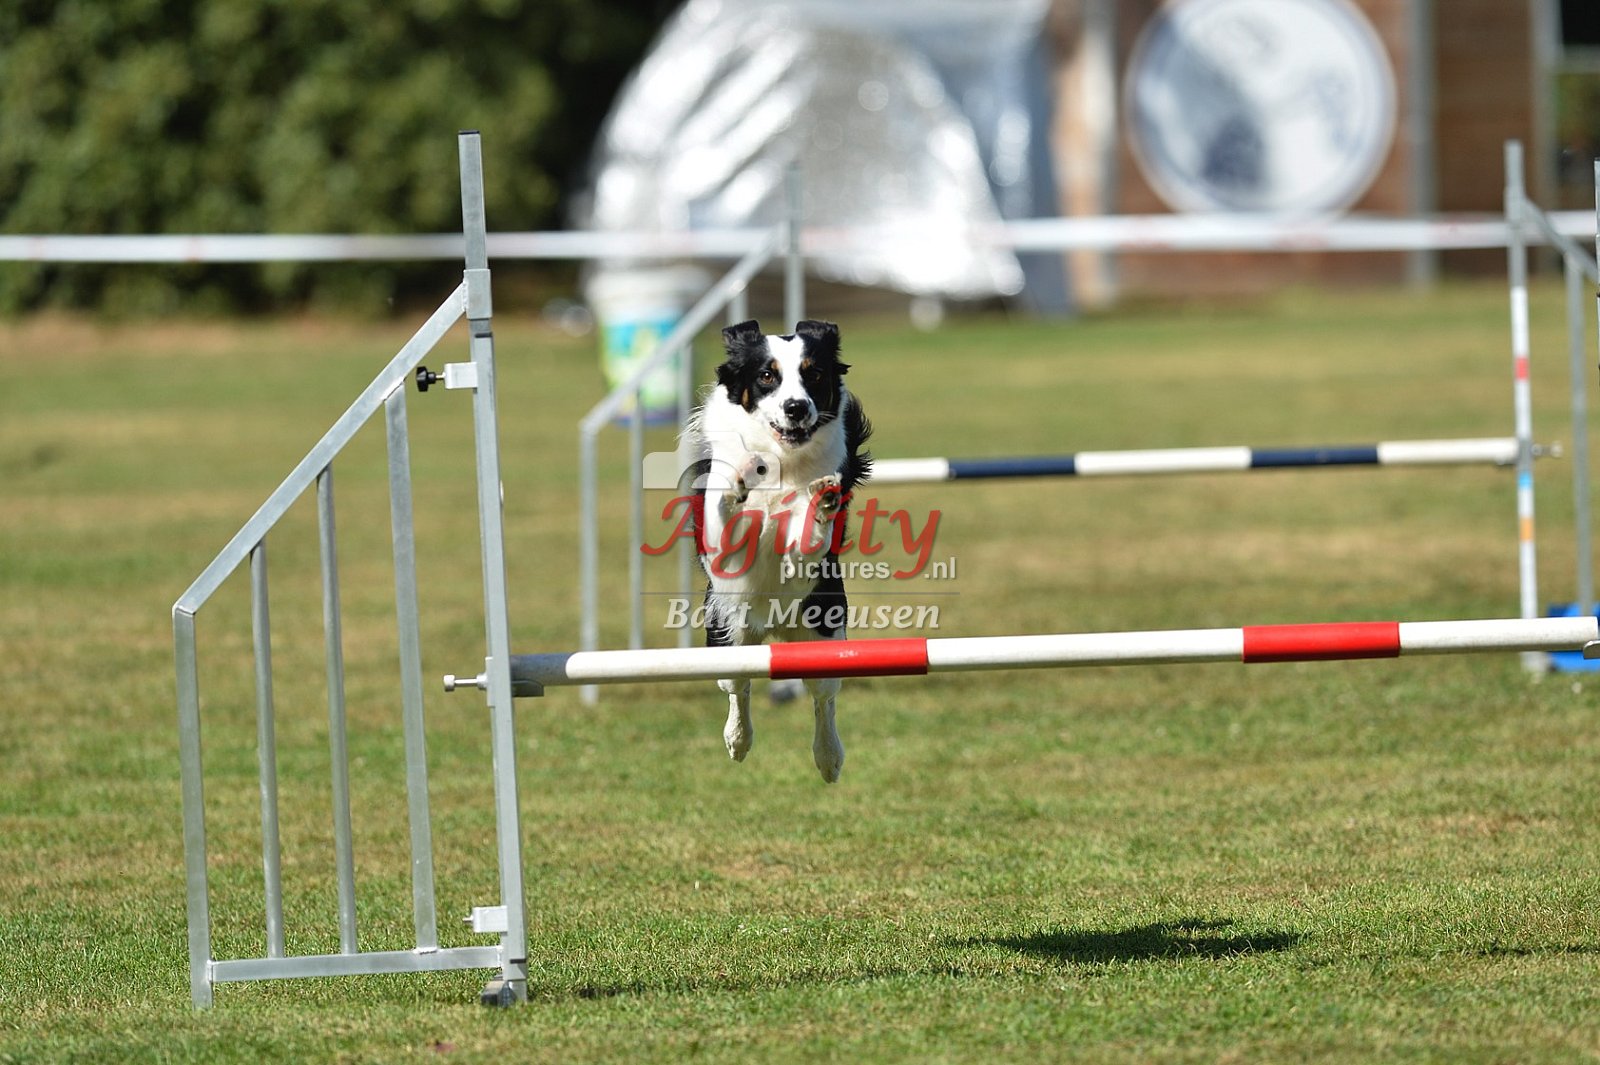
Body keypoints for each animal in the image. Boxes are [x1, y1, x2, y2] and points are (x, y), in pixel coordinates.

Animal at [681, 319, 872, 783]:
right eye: (767, 375)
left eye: (813, 374)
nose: (796, 408)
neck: (780, 457)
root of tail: (774, 629)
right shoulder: (721, 550)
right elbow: (724, 514)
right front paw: (736, 484)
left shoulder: (808, 564)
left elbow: (806, 540)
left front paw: (821, 504)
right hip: (727, 635)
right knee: (739, 688)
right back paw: (737, 741)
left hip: (824, 633)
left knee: (823, 699)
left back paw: (828, 758)